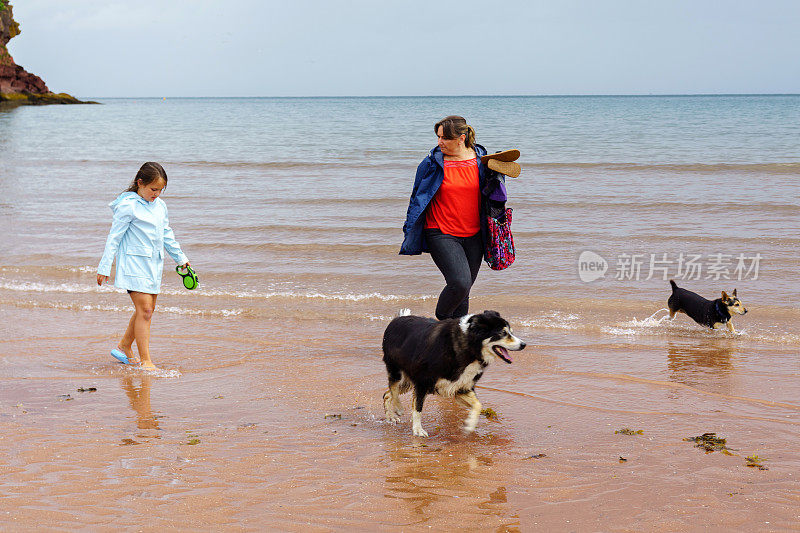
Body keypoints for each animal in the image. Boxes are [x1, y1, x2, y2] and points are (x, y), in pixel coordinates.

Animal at [384, 308, 528, 436]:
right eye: (503, 333)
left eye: (511, 332)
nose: (523, 344)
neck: (470, 348)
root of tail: (397, 319)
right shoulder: (422, 382)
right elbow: (418, 408)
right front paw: (418, 430)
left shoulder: (459, 386)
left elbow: (478, 405)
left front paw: (470, 424)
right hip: (398, 372)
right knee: (394, 389)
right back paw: (397, 408)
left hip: (408, 381)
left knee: (387, 394)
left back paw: (390, 416)